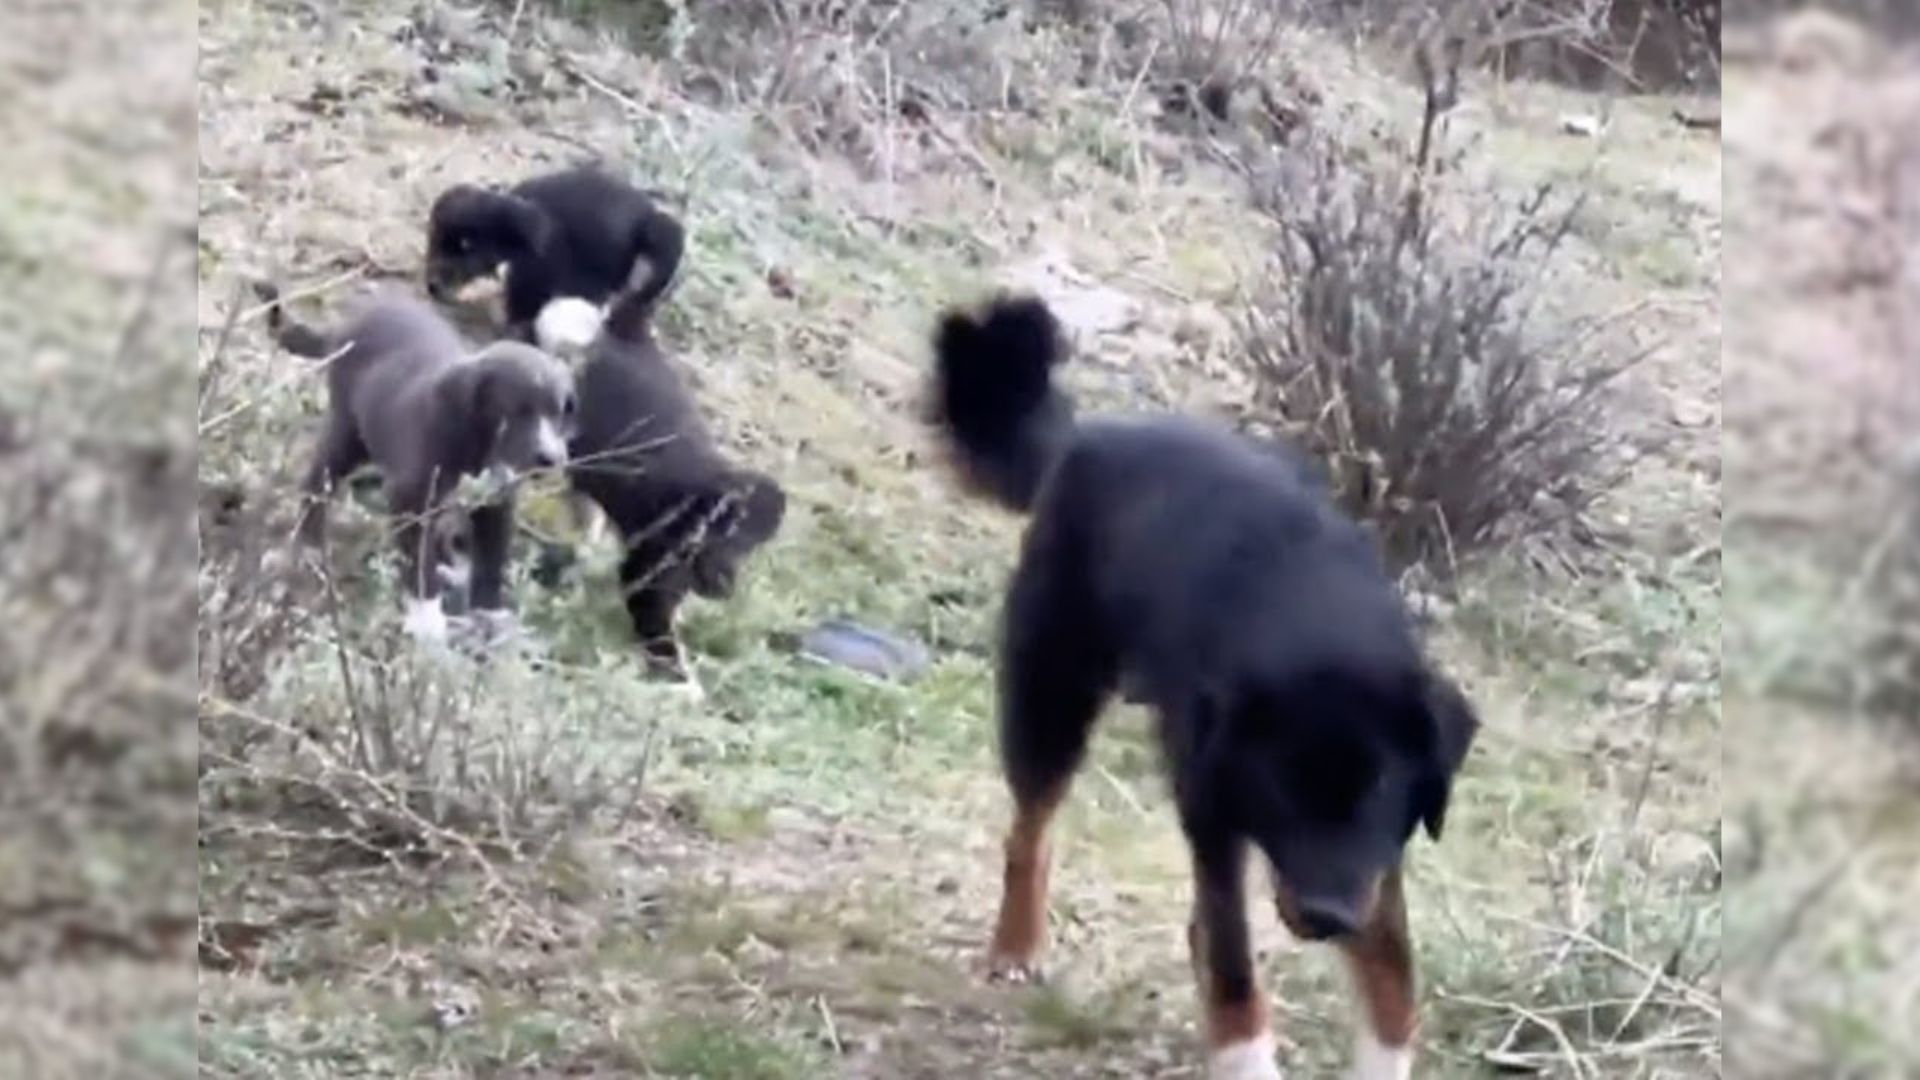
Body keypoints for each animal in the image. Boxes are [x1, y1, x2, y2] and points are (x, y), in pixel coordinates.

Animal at [253, 282, 576, 641]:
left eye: (559, 412)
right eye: (516, 410)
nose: (550, 458)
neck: (476, 446)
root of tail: (349, 323)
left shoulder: (496, 502)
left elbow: (491, 561)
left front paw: (490, 615)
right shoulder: (410, 496)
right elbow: (418, 564)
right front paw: (427, 621)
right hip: (347, 431)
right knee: (318, 482)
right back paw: (306, 545)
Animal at [929, 294, 1482, 1076]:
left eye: (1378, 786)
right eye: (1283, 786)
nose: (1327, 917)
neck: (1322, 619)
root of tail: (1089, 435)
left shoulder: (1378, 856)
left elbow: (1393, 978)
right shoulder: (1214, 809)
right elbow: (1232, 963)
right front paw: (1245, 1056)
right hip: (1052, 692)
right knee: (1029, 830)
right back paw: (1016, 945)